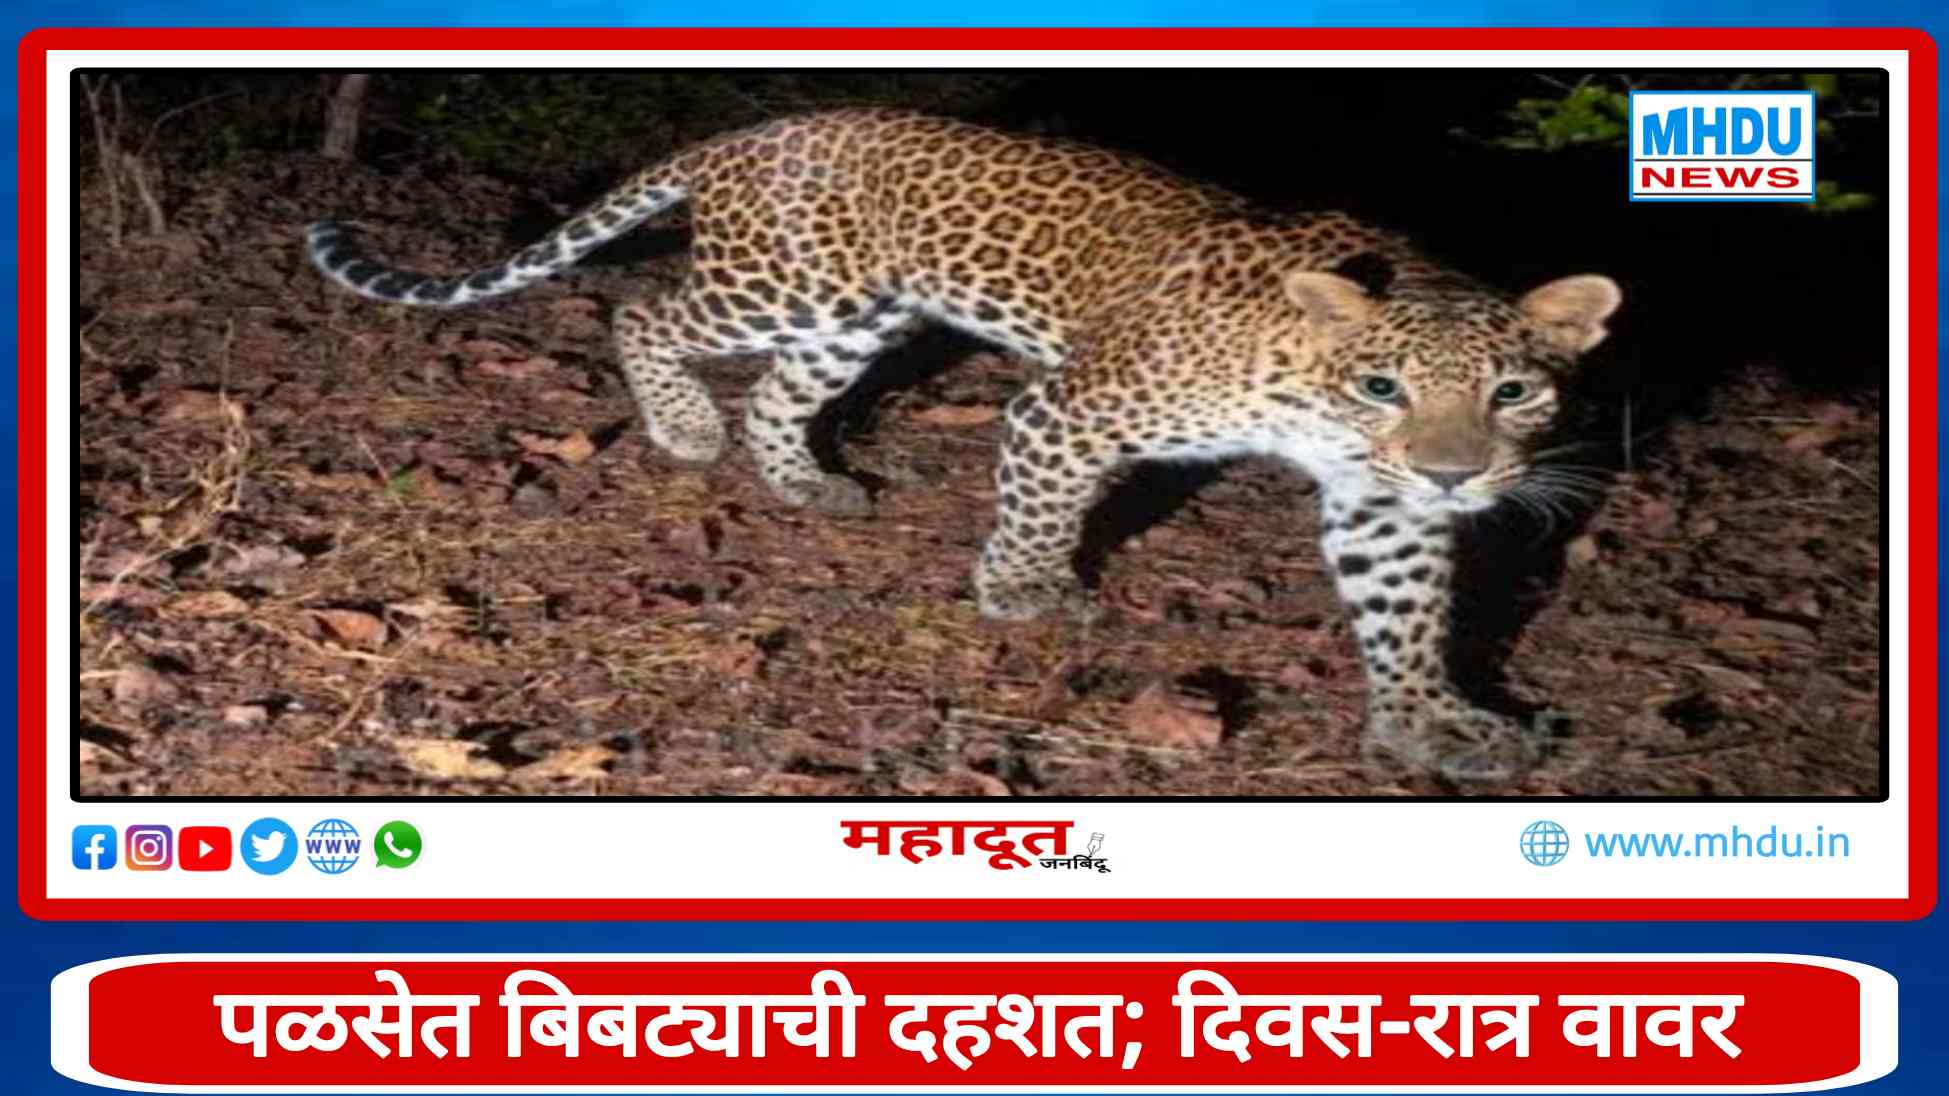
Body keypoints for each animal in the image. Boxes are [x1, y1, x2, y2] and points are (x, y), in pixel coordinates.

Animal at [306, 107, 1622, 785]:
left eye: (1511, 390)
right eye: (1381, 383)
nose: (1456, 473)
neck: (1305, 384)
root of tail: (750, 134)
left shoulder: (1382, 502)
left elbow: (1406, 611)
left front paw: (1429, 720)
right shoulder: (1070, 409)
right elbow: (1045, 503)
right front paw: (1026, 588)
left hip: (854, 319)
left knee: (779, 395)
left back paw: (804, 482)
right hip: (783, 287)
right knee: (644, 312)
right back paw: (681, 426)